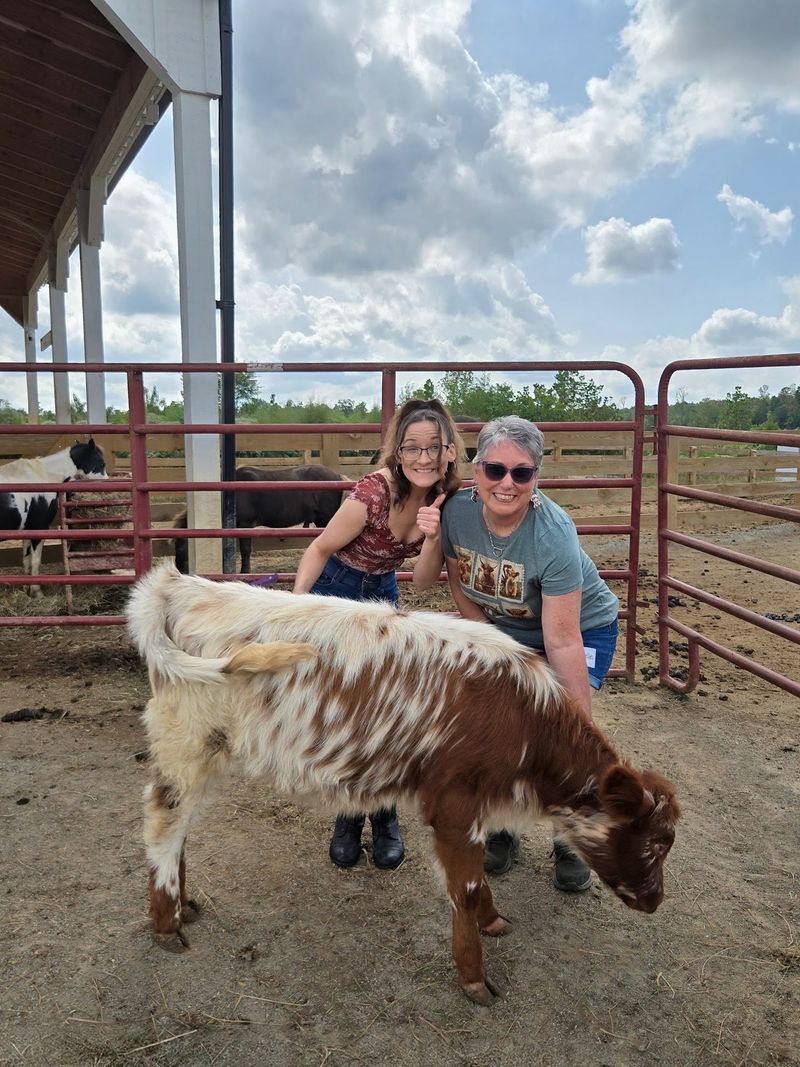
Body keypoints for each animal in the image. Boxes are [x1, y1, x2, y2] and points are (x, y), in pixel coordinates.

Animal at [0, 439, 107, 593]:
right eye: (101, 462)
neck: (43, 476)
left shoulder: (27, 528)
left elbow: (26, 559)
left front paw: (27, 588)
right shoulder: (39, 528)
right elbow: (36, 560)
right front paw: (36, 591)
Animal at [128, 563, 680, 1005]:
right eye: (652, 843)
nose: (655, 902)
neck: (523, 715)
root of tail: (179, 585)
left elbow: (477, 885)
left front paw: (492, 920)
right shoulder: (454, 805)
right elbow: (467, 888)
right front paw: (474, 976)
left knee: (180, 830)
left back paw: (184, 905)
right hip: (187, 746)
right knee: (163, 826)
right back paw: (166, 922)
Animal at [173, 463, 346, 574]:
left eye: (181, 548)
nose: (180, 571)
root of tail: (337, 476)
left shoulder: (245, 525)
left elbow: (245, 550)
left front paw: (244, 572)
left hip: (325, 519)